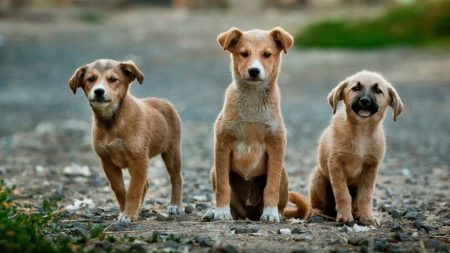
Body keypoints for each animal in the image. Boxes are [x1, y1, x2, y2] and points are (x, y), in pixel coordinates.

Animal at [68, 59, 183, 221]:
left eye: (113, 79)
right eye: (91, 79)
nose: (99, 91)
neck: (112, 121)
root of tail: (164, 101)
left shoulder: (139, 160)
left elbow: (134, 190)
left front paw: (129, 214)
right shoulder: (108, 162)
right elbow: (120, 190)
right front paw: (125, 211)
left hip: (172, 152)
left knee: (176, 178)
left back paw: (175, 205)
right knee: (146, 184)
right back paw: (139, 208)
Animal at [210, 26, 296, 222]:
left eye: (267, 54)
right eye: (244, 53)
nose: (254, 71)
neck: (252, 99)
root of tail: (249, 214)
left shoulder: (276, 145)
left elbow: (271, 187)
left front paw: (270, 213)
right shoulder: (223, 144)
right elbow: (223, 187)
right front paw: (221, 212)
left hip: (283, 174)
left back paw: (276, 214)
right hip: (214, 171)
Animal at [308, 69, 402, 225]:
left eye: (378, 91)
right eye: (355, 88)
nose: (365, 101)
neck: (362, 131)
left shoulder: (371, 167)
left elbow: (366, 196)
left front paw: (368, 217)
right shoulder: (336, 164)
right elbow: (342, 194)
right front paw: (345, 217)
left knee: (356, 203)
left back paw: (357, 213)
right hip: (318, 178)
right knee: (318, 205)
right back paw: (317, 213)